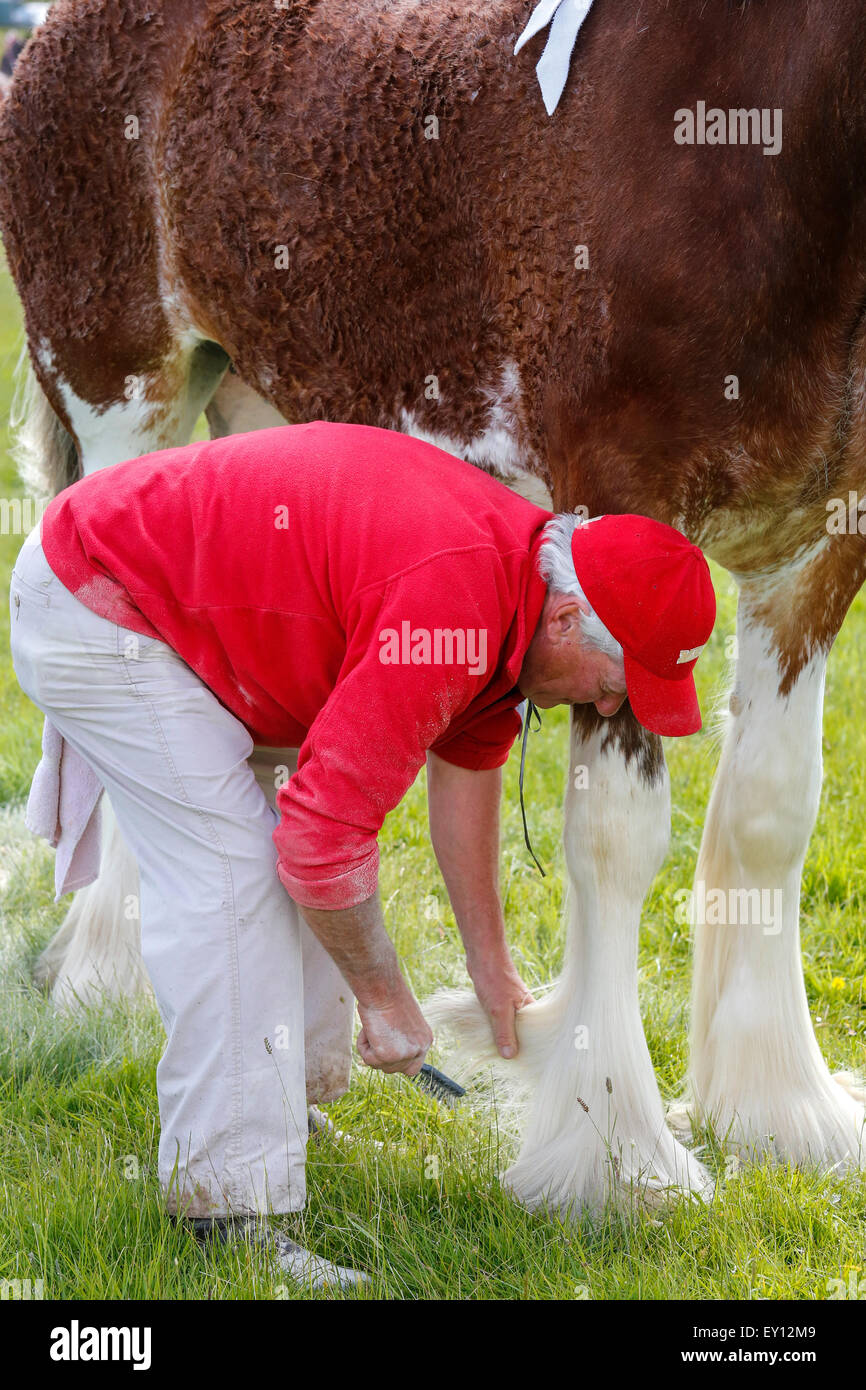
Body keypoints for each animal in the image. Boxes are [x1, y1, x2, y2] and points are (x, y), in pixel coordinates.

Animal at [1, 0, 866, 1217]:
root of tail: (54, 34)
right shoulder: (615, 517)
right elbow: (615, 841)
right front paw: (618, 1155)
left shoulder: (816, 556)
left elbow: (768, 816)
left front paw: (782, 1115)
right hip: (124, 401)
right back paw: (111, 976)